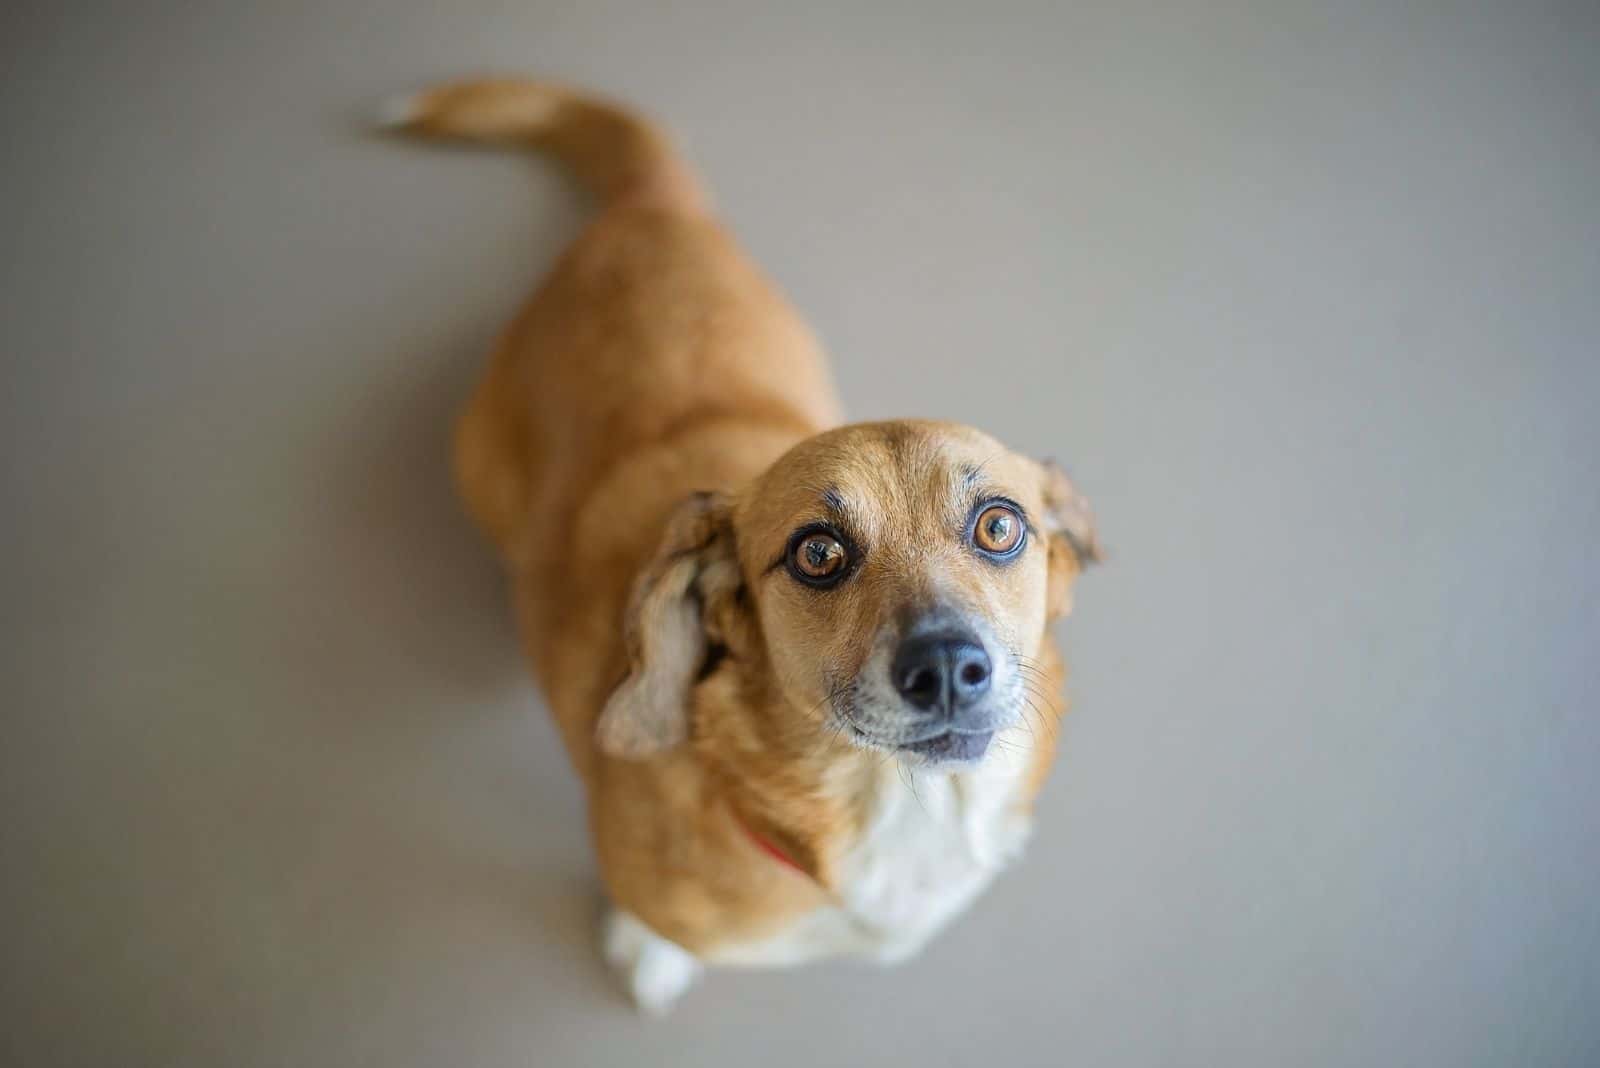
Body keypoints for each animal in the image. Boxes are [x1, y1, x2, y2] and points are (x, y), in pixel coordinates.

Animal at [384, 79, 1100, 1016]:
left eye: (999, 526)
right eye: (817, 554)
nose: (947, 667)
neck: (892, 808)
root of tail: (650, 208)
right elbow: (649, 923)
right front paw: (649, 952)